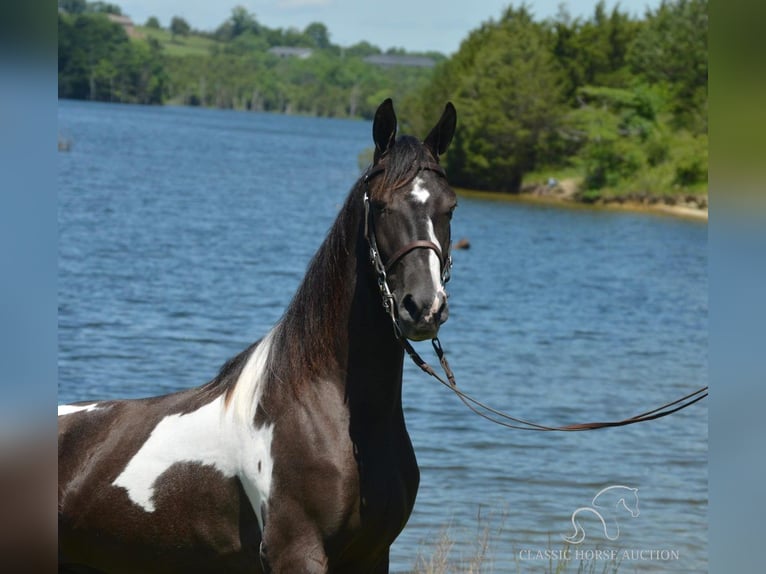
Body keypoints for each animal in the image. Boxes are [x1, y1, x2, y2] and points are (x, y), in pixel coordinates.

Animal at [60, 100, 460, 574]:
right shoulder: (297, 552)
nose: (423, 307)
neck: (321, 410)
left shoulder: (372, 555)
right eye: (380, 206)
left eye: (450, 207)